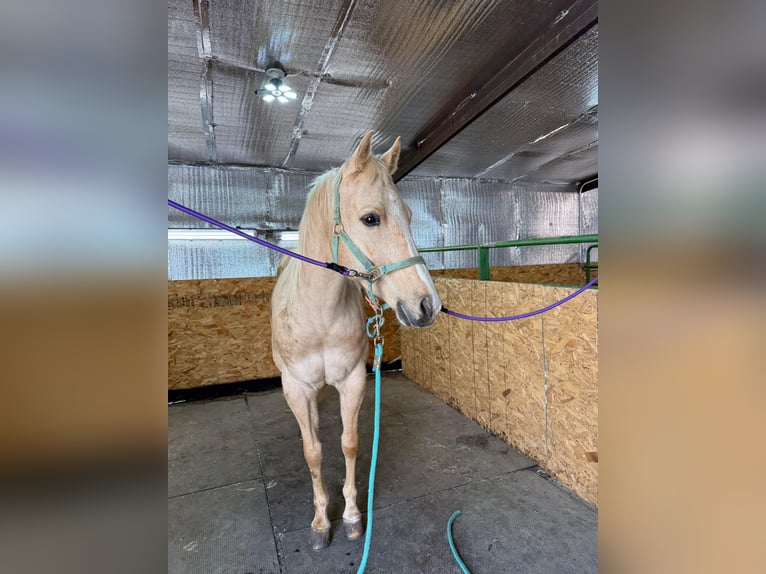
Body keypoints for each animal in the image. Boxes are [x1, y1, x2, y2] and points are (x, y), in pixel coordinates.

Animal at [271, 131, 441, 550]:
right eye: (370, 218)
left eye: (409, 216)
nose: (427, 305)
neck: (318, 314)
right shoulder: (296, 387)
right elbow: (312, 451)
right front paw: (320, 522)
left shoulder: (352, 381)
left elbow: (349, 443)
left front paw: (350, 516)